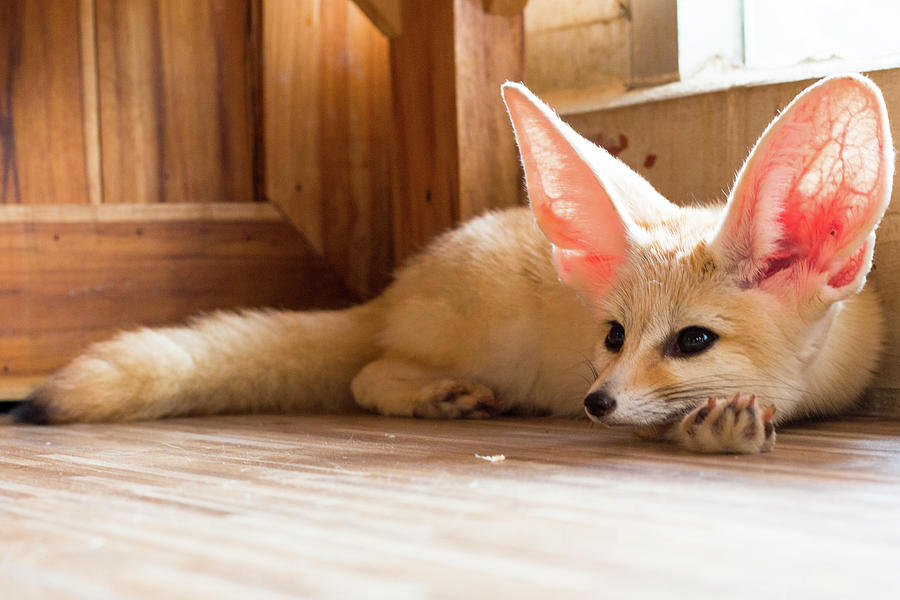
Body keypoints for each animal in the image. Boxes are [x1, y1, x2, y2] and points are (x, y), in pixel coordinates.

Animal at [10, 75, 896, 452]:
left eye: (692, 341)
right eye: (613, 334)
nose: (595, 401)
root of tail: (398, 282)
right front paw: (716, 428)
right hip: (483, 340)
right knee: (365, 374)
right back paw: (436, 396)